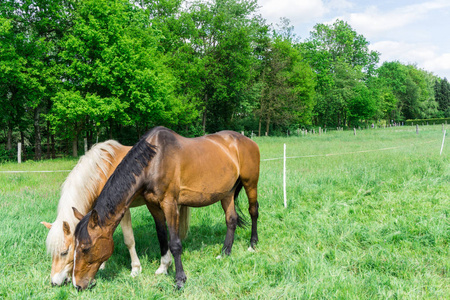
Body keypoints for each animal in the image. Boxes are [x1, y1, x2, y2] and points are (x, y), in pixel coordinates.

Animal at [41, 141, 191, 286]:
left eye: (64, 252)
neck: (102, 170)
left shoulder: (123, 211)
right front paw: (102, 265)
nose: (55, 282)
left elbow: (129, 240)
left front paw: (135, 269)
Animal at [71, 126, 258, 290]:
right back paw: (225, 252)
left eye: (85, 248)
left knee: (253, 211)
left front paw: (180, 280)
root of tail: (246, 140)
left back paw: (252, 245)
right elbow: (161, 236)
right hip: (227, 193)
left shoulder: (170, 205)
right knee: (231, 220)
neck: (154, 161)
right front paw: (163, 268)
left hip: (250, 184)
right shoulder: (153, 206)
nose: (77, 285)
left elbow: (174, 243)